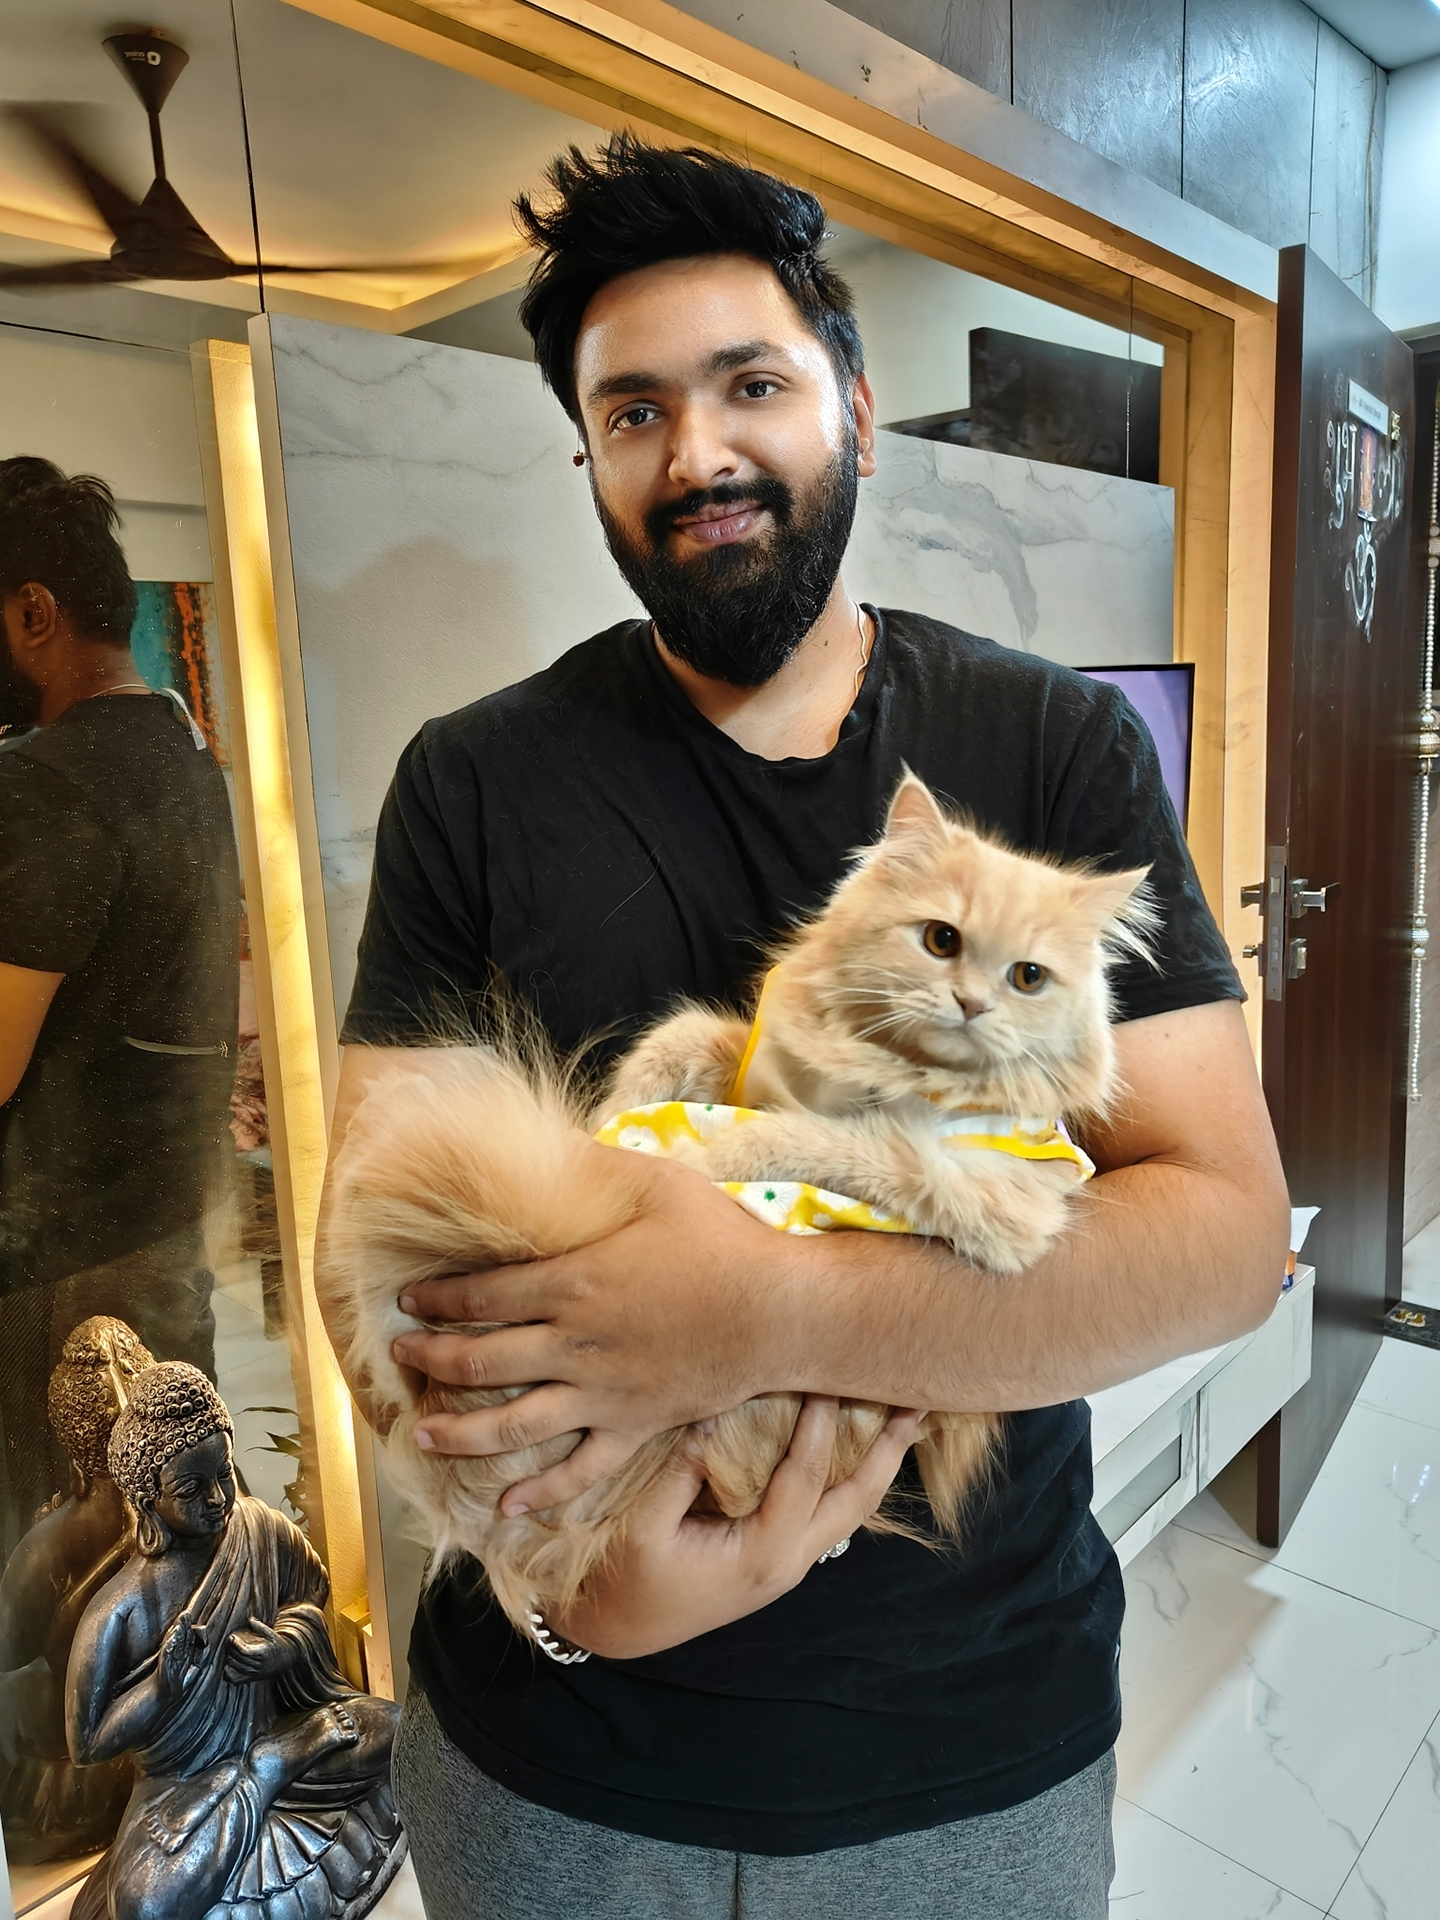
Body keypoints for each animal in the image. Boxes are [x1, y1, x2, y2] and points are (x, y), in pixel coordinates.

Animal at [326, 772, 1154, 1642]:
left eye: (1028, 978)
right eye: (940, 940)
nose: (971, 1004)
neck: (882, 1069)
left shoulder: (982, 1193)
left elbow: (811, 1140)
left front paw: (696, 1160)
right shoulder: (749, 1064)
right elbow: (684, 1035)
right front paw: (609, 1117)